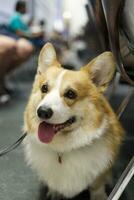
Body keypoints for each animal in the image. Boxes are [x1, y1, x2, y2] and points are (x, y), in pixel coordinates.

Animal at [23, 43, 124, 199]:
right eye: (44, 88)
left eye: (71, 94)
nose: (42, 112)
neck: (63, 149)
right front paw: (55, 194)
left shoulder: (100, 172)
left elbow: (96, 186)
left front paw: (99, 196)